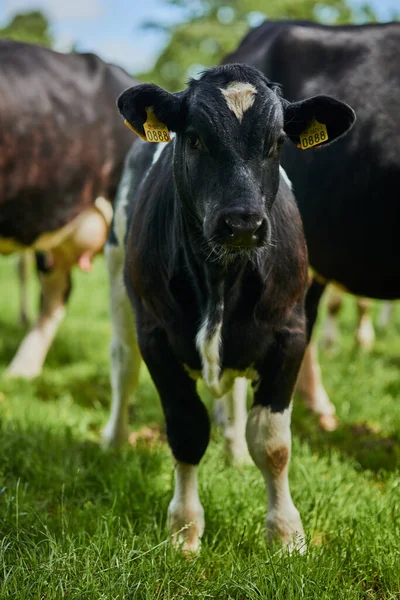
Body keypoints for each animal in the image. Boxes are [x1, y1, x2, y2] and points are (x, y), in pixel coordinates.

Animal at [103, 63, 354, 552]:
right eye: (195, 138)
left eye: (277, 142)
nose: (242, 223)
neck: (221, 279)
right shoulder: (156, 336)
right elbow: (186, 429)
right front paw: (184, 529)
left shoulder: (291, 332)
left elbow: (273, 442)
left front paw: (286, 533)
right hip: (118, 278)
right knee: (123, 365)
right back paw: (115, 441)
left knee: (236, 393)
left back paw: (235, 450)